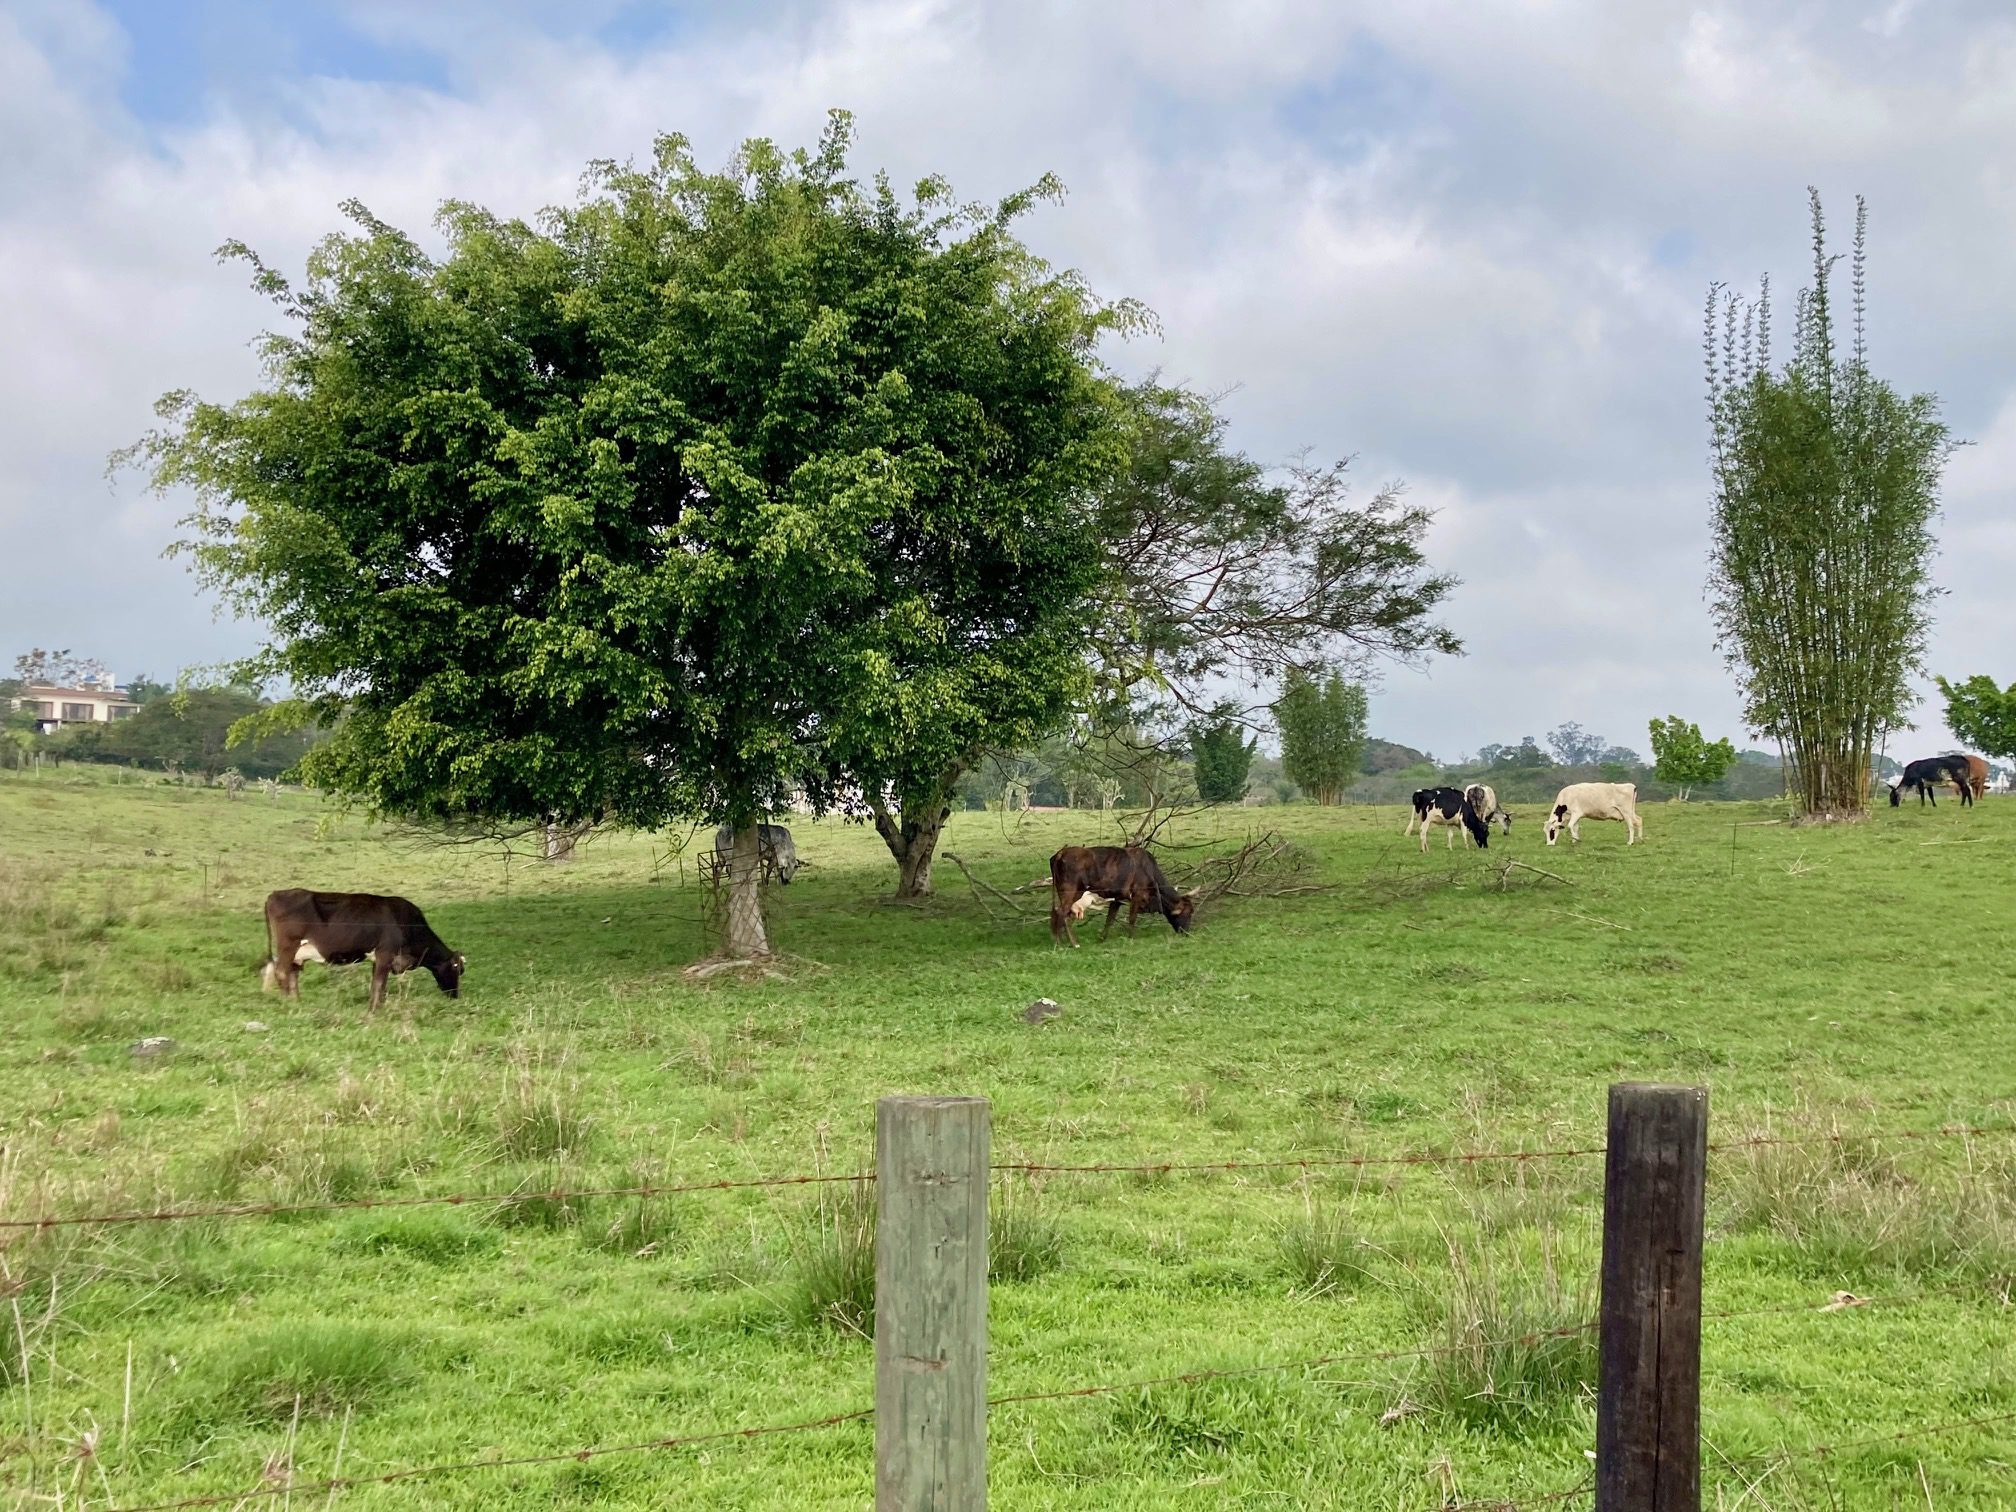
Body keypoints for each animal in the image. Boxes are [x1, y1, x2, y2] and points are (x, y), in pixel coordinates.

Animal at [258, 895, 461, 1012]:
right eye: (457, 969)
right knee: (281, 972)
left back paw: (296, 1002)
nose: (455, 996)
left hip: (296, 953)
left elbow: (378, 984)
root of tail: (276, 894)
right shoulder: (385, 953)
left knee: (291, 974)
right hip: (288, 945)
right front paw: (374, 1010)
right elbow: (379, 984)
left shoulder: (379, 959)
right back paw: (288, 1004)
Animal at [1048, 842, 1185, 947]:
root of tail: (1061, 853)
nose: (1187, 932)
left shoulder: (1117, 899)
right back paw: (1070, 943)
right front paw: (1131, 937)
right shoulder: (1137, 896)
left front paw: (1102, 938)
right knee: (1062, 914)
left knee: (1056, 913)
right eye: (1187, 912)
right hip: (1072, 892)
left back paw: (1060, 941)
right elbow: (1132, 918)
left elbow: (1110, 919)